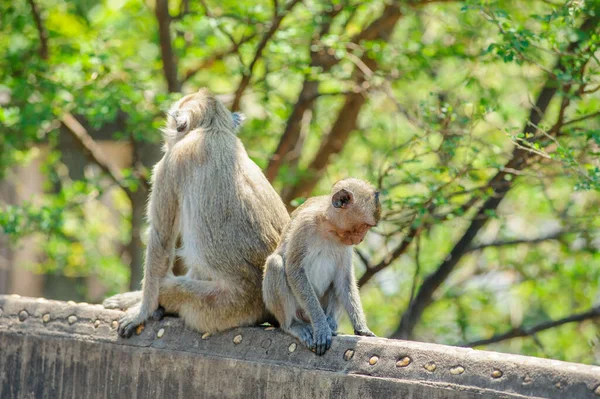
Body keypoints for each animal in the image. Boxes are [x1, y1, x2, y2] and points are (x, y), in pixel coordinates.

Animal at [103, 88, 290, 338]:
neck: (212, 130)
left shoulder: (170, 164)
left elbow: (161, 240)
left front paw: (143, 310)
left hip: (222, 306)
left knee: (174, 287)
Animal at [262, 178, 380, 356]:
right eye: (365, 226)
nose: (361, 239)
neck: (329, 227)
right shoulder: (305, 225)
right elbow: (294, 269)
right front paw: (321, 326)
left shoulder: (345, 244)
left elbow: (344, 279)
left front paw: (362, 328)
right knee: (275, 263)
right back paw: (294, 325)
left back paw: (330, 320)